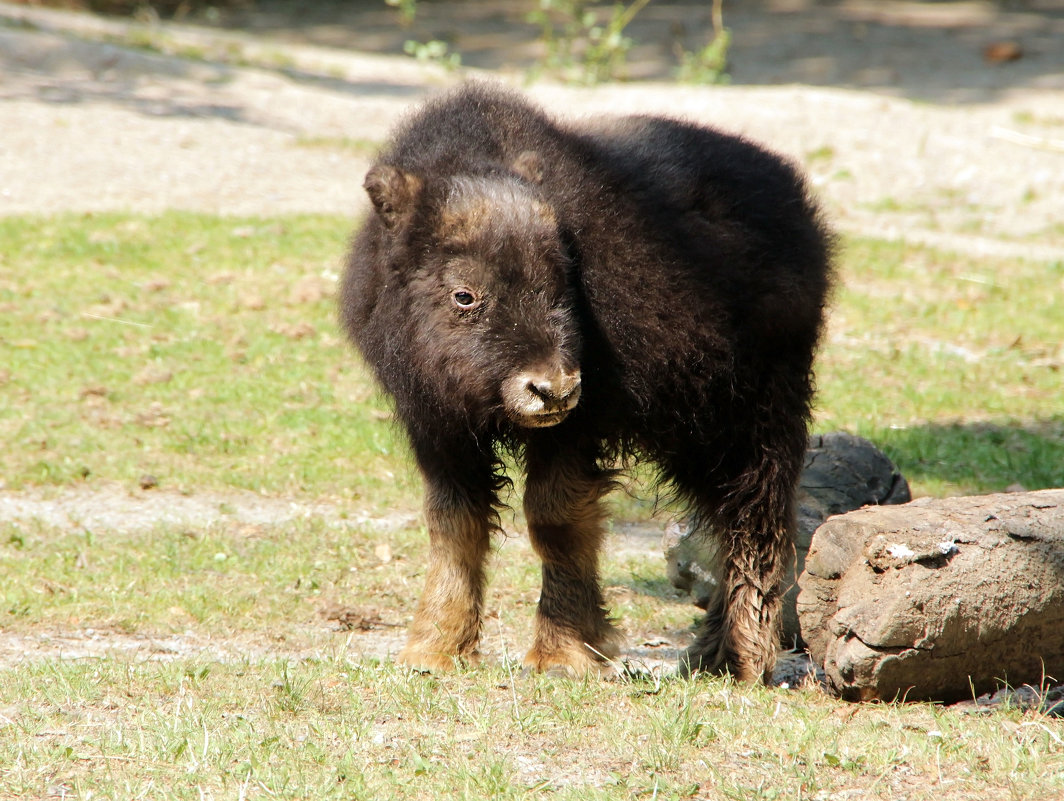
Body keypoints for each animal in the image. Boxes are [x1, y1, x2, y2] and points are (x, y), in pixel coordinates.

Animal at [340, 82, 829, 680]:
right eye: (465, 295)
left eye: (561, 281)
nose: (552, 389)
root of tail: (795, 202)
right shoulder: (437, 428)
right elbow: (454, 526)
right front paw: (435, 650)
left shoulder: (576, 429)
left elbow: (554, 520)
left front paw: (565, 653)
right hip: (696, 434)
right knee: (722, 519)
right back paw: (707, 654)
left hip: (754, 418)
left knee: (755, 517)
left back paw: (741, 659)